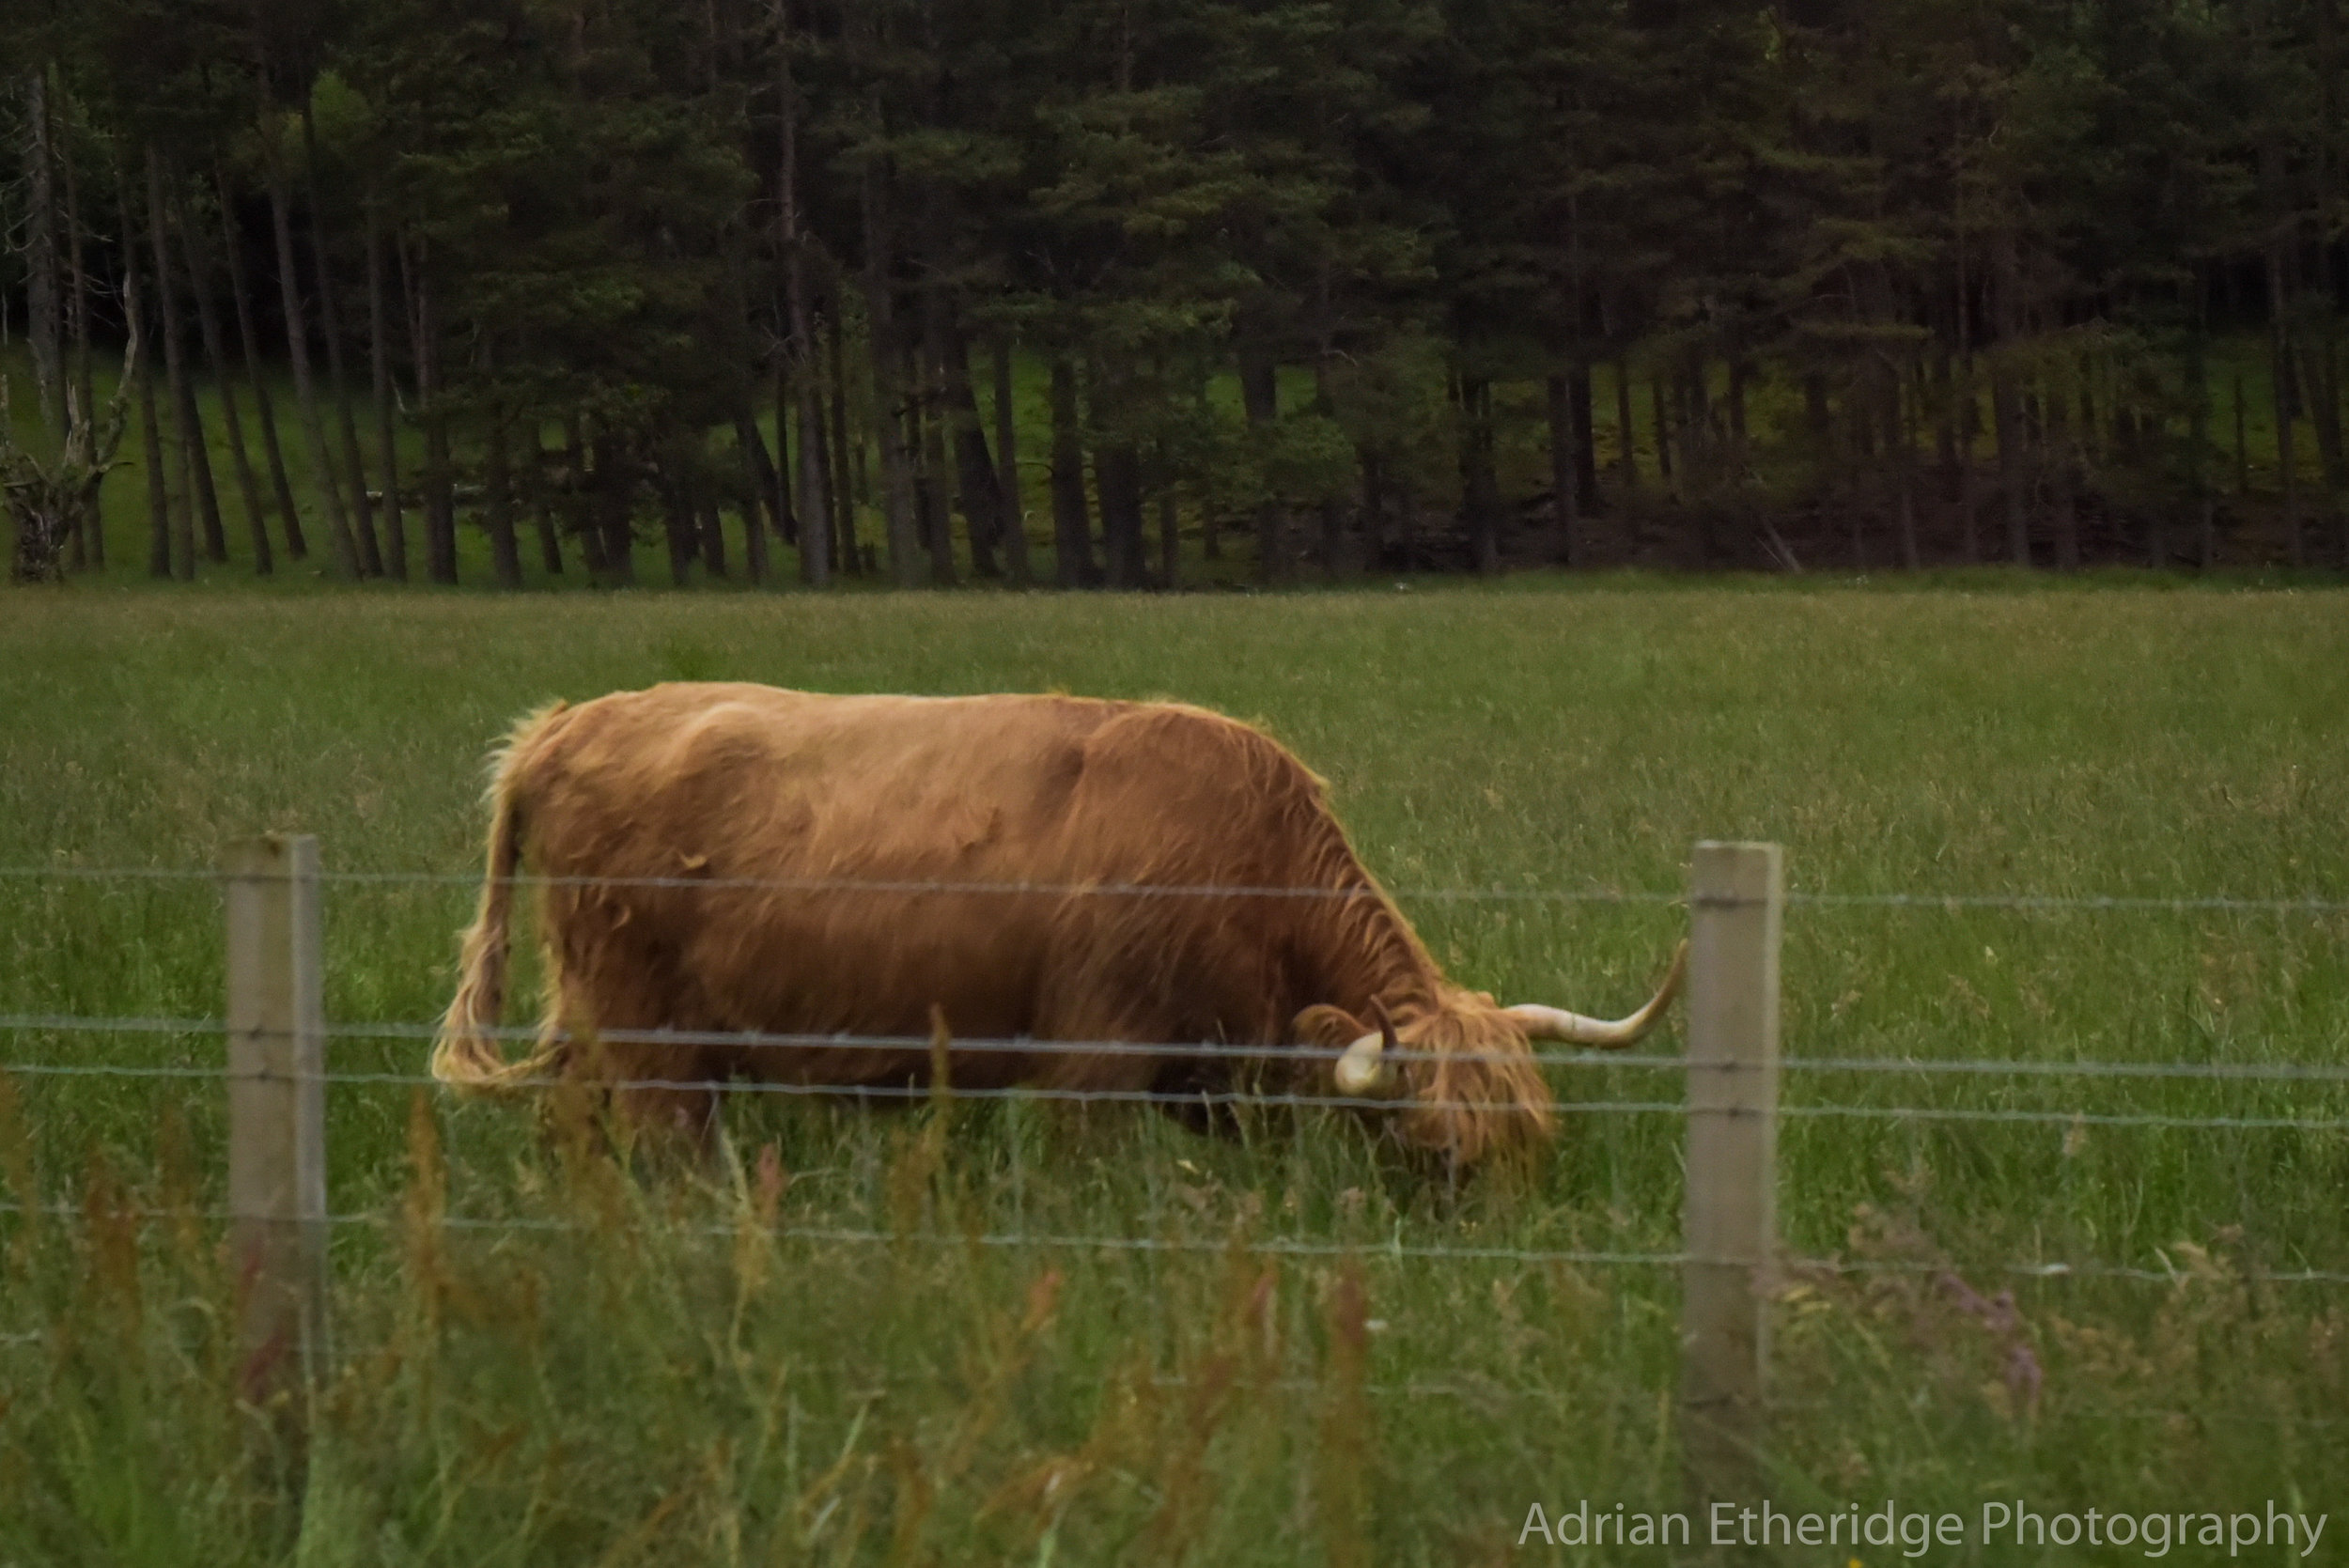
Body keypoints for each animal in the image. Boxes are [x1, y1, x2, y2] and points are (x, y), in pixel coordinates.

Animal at [437, 685, 1691, 1164]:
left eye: (1531, 1149)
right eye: (1433, 1152)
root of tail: (567, 721)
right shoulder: (1095, 1057)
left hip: (595, 1025)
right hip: (644, 1034)